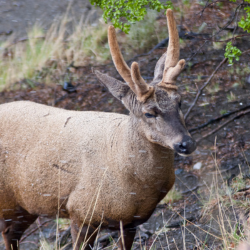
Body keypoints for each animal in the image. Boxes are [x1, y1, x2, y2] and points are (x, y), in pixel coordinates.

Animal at [0, 9, 195, 250]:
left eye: (180, 102)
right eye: (149, 113)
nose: (186, 143)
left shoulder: (130, 221)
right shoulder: (81, 211)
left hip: (25, 204)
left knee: (11, 234)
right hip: (7, 200)